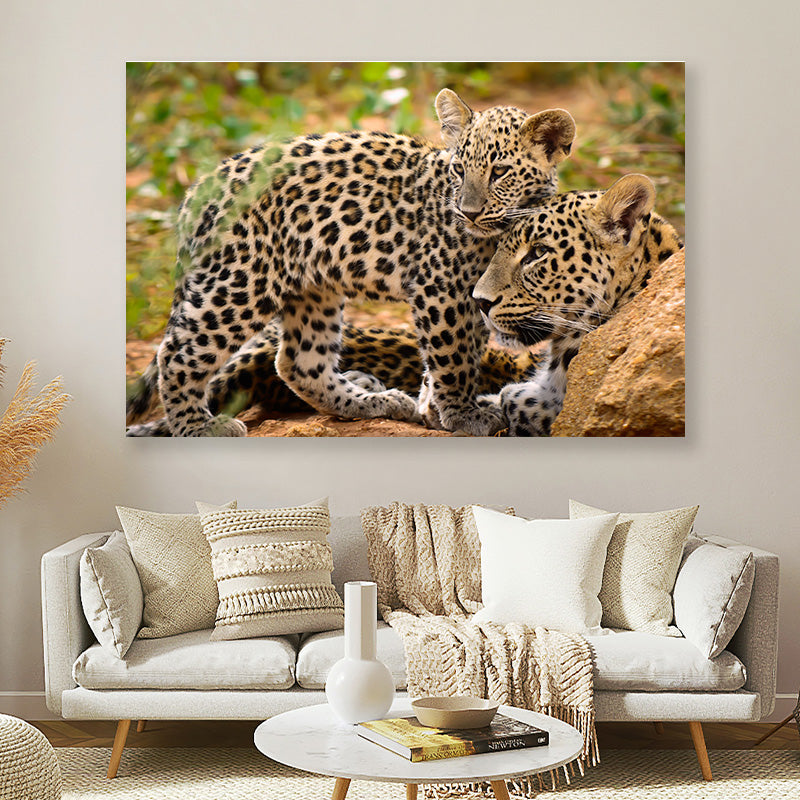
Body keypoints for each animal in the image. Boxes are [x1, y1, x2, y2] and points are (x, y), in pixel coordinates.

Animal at [126, 89, 575, 436]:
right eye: (459, 170)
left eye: (500, 172)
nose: (468, 212)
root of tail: (198, 188)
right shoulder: (441, 288)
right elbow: (453, 354)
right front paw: (462, 414)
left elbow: (455, 353)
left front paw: (430, 407)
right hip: (239, 282)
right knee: (176, 353)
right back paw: (197, 426)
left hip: (312, 287)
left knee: (297, 363)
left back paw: (374, 402)